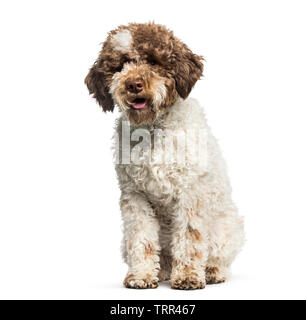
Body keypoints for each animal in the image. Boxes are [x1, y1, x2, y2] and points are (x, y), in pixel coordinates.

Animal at [85, 21, 244, 288]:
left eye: (153, 61)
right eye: (120, 65)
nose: (134, 84)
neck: (152, 130)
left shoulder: (190, 194)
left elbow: (190, 237)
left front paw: (188, 275)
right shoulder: (135, 196)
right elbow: (141, 238)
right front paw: (141, 275)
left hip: (227, 228)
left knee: (217, 256)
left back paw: (212, 272)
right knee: (163, 255)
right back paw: (163, 272)